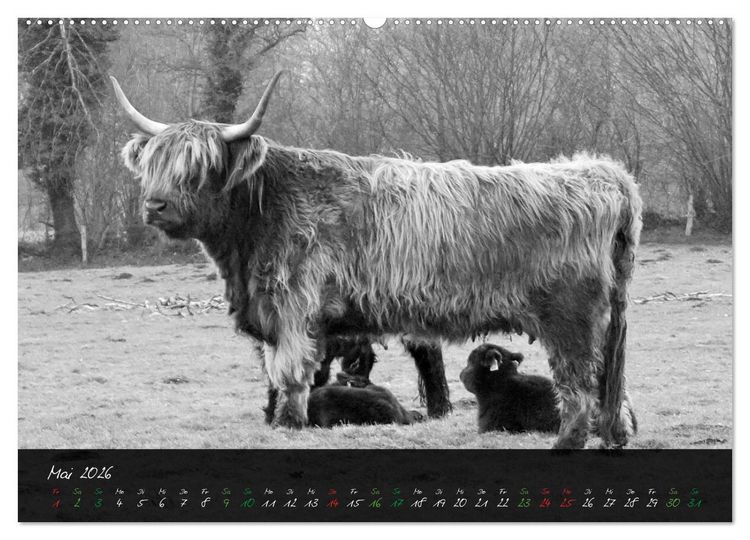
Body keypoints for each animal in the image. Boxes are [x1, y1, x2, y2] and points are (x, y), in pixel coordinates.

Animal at [112, 71, 642, 449]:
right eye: (154, 165)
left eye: (198, 168)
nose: (155, 205)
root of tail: (603, 173)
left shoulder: (292, 309)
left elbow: (289, 376)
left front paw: (288, 426)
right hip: (607, 319)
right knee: (610, 382)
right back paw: (614, 435)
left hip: (570, 319)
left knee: (580, 382)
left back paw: (569, 441)